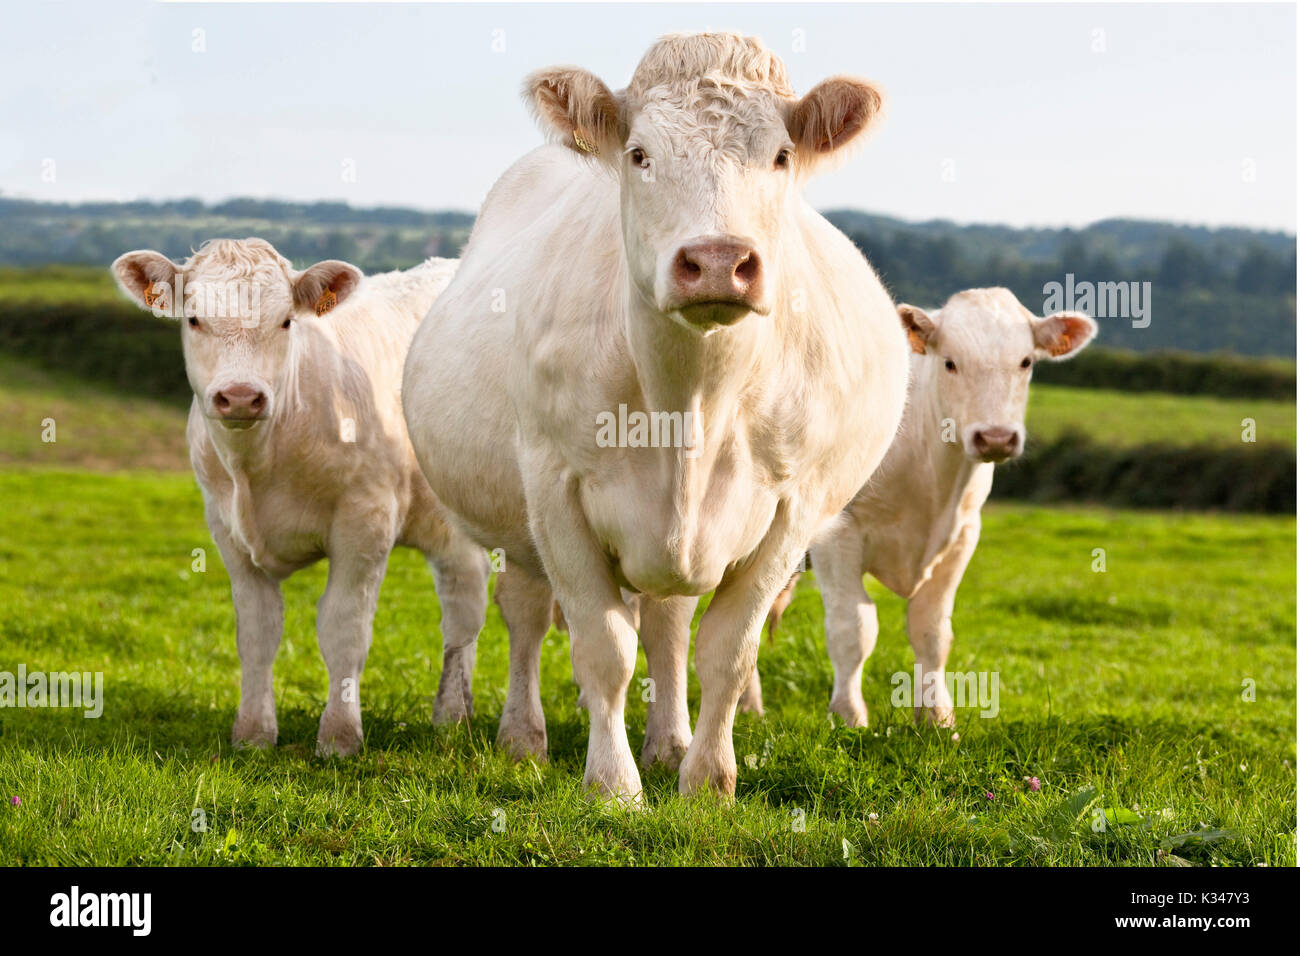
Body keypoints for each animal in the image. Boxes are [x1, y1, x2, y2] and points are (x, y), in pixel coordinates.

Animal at [110, 239, 488, 754]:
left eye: (287, 320)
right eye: (194, 319)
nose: (241, 396)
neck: (259, 467)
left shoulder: (365, 520)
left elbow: (343, 629)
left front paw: (340, 737)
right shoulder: (226, 529)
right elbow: (257, 632)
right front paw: (252, 733)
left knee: (464, 610)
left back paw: (452, 715)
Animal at [403, 33, 904, 806]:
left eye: (781, 156)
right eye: (639, 154)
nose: (719, 261)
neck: (691, 402)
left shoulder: (794, 510)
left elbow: (727, 650)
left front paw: (706, 779)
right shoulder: (556, 491)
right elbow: (604, 648)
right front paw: (613, 784)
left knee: (668, 625)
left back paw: (668, 743)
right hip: (517, 526)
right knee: (526, 612)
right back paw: (523, 739)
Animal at [743, 290, 1097, 723]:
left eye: (1026, 361)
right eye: (950, 362)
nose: (996, 438)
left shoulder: (962, 536)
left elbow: (931, 631)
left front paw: (937, 718)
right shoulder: (837, 533)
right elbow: (853, 627)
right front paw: (849, 716)